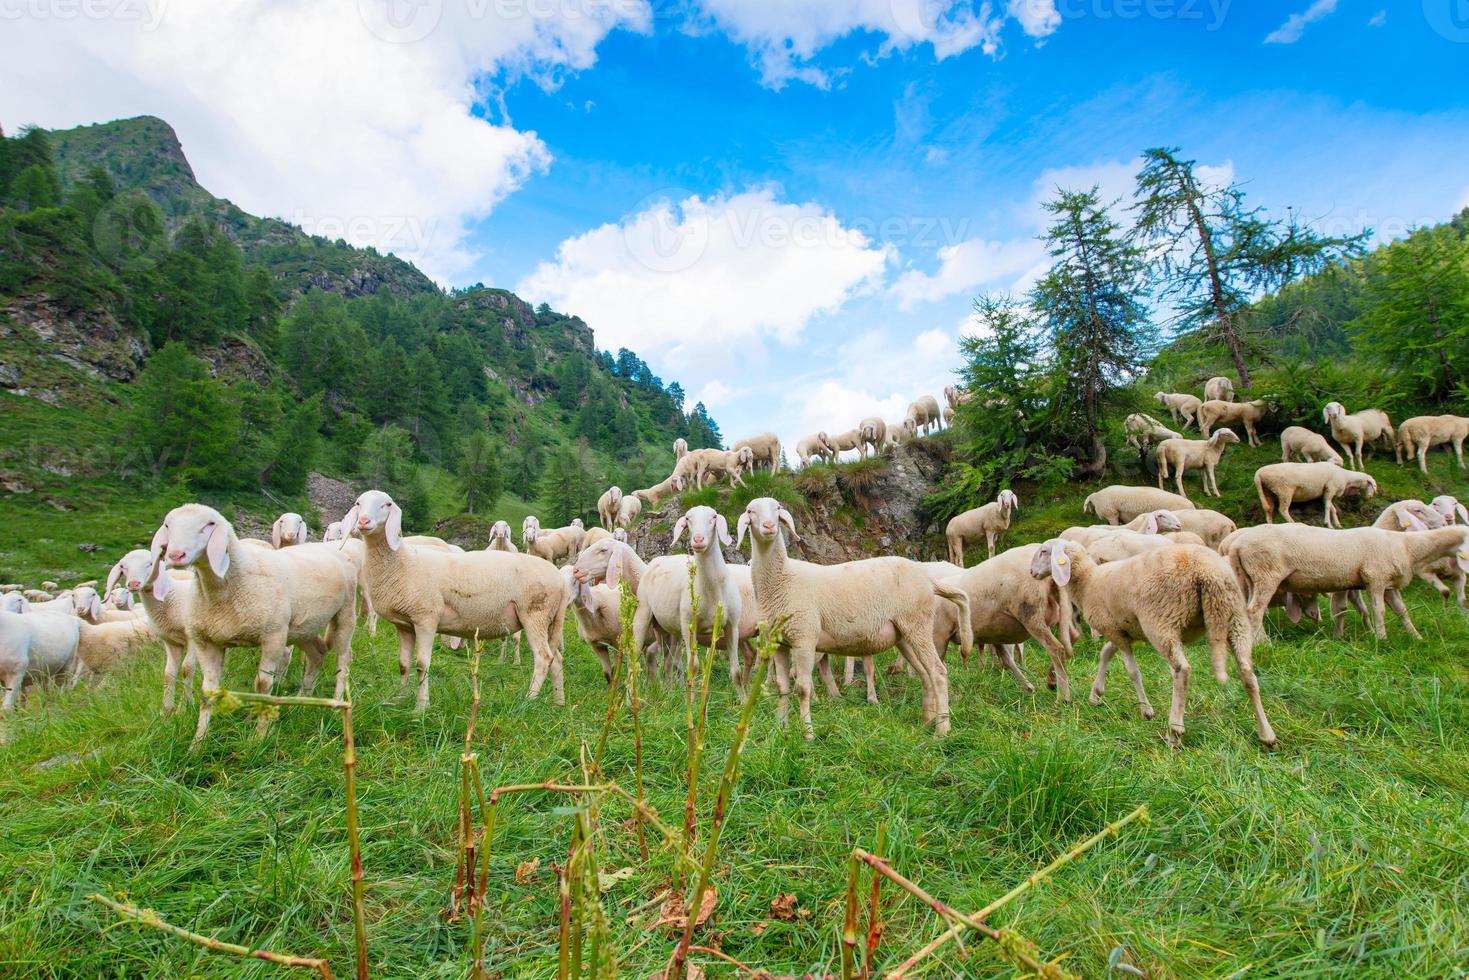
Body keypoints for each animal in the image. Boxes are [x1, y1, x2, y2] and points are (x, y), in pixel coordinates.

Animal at [149, 505, 358, 743]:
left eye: (210, 524)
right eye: (168, 525)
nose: (176, 555)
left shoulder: (273, 637)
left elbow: (263, 685)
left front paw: (259, 737)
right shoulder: (207, 642)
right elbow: (209, 691)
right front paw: (198, 741)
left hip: (345, 612)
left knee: (344, 658)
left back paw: (337, 701)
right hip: (303, 626)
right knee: (317, 653)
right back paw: (302, 701)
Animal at [342, 490, 567, 714]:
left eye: (387, 504)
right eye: (358, 503)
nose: (363, 521)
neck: (403, 562)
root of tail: (559, 579)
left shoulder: (426, 619)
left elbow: (422, 664)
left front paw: (421, 708)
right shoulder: (404, 625)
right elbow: (403, 664)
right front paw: (399, 700)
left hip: (535, 614)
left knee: (543, 658)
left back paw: (528, 700)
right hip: (549, 620)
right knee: (556, 659)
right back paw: (559, 702)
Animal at [731, 499, 963, 734]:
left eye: (777, 509)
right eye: (751, 511)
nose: (769, 526)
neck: (783, 580)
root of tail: (928, 579)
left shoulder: (804, 638)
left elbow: (802, 688)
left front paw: (807, 733)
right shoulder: (779, 643)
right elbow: (782, 686)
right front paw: (781, 727)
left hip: (917, 624)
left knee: (938, 672)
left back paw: (942, 731)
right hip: (904, 634)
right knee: (925, 674)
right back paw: (926, 721)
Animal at [1028, 540, 1280, 746]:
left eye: (1044, 551)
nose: (1031, 572)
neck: (1088, 580)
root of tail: (1207, 572)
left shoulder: (1115, 631)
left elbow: (1132, 671)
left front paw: (1146, 711)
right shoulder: (1123, 630)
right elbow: (1105, 653)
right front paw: (1096, 694)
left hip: (1162, 621)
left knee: (1182, 670)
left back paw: (1175, 731)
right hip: (1234, 616)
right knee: (1248, 673)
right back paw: (1267, 735)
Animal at [1216, 520, 1469, 643]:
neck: (1408, 547)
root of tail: (1236, 544)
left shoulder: (1387, 585)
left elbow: (1401, 612)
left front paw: (1417, 638)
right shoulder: (1375, 577)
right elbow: (1379, 611)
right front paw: (1381, 639)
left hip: (1248, 578)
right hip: (1266, 574)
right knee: (1254, 611)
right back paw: (1263, 642)